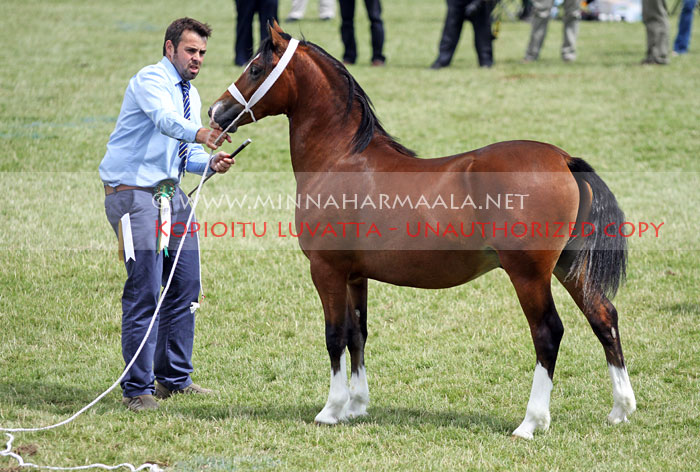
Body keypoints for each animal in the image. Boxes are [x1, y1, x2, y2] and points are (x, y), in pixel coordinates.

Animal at [206, 23, 636, 438]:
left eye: (255, 68)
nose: (215, 110)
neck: (340, 159)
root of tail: (564, 159)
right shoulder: (355, 274)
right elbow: (357, 334)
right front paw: (356, 406)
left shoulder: (326, 269)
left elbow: (334, 336)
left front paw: (331, 410)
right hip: (569, 266)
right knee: (604, 318)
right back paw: (620, 410)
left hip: (528, 273)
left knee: (548, 333)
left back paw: (530, 423)